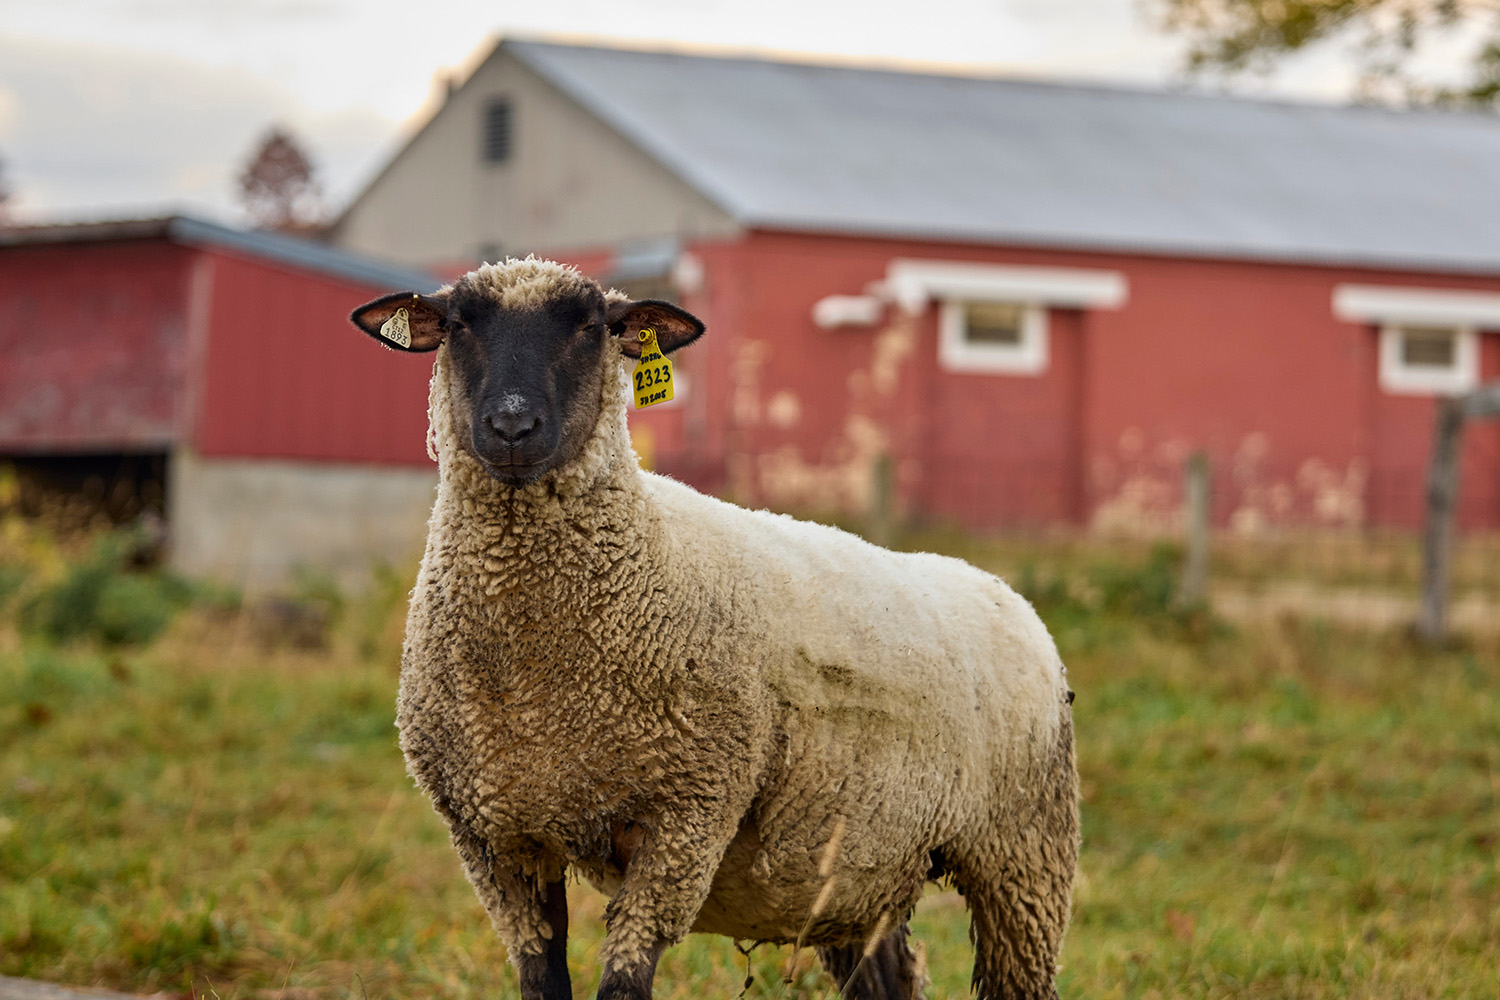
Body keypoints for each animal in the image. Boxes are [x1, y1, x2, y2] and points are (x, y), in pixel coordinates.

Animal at [348, 257, 1079, 1000]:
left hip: (1024, 855)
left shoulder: (685, 818)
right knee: (890, 978)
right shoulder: (496, 840)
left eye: (591, 327)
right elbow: (542, 980)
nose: (512, 426)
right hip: (859, 873)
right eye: (458, 325)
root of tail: (1008, 596)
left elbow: (623, 984)